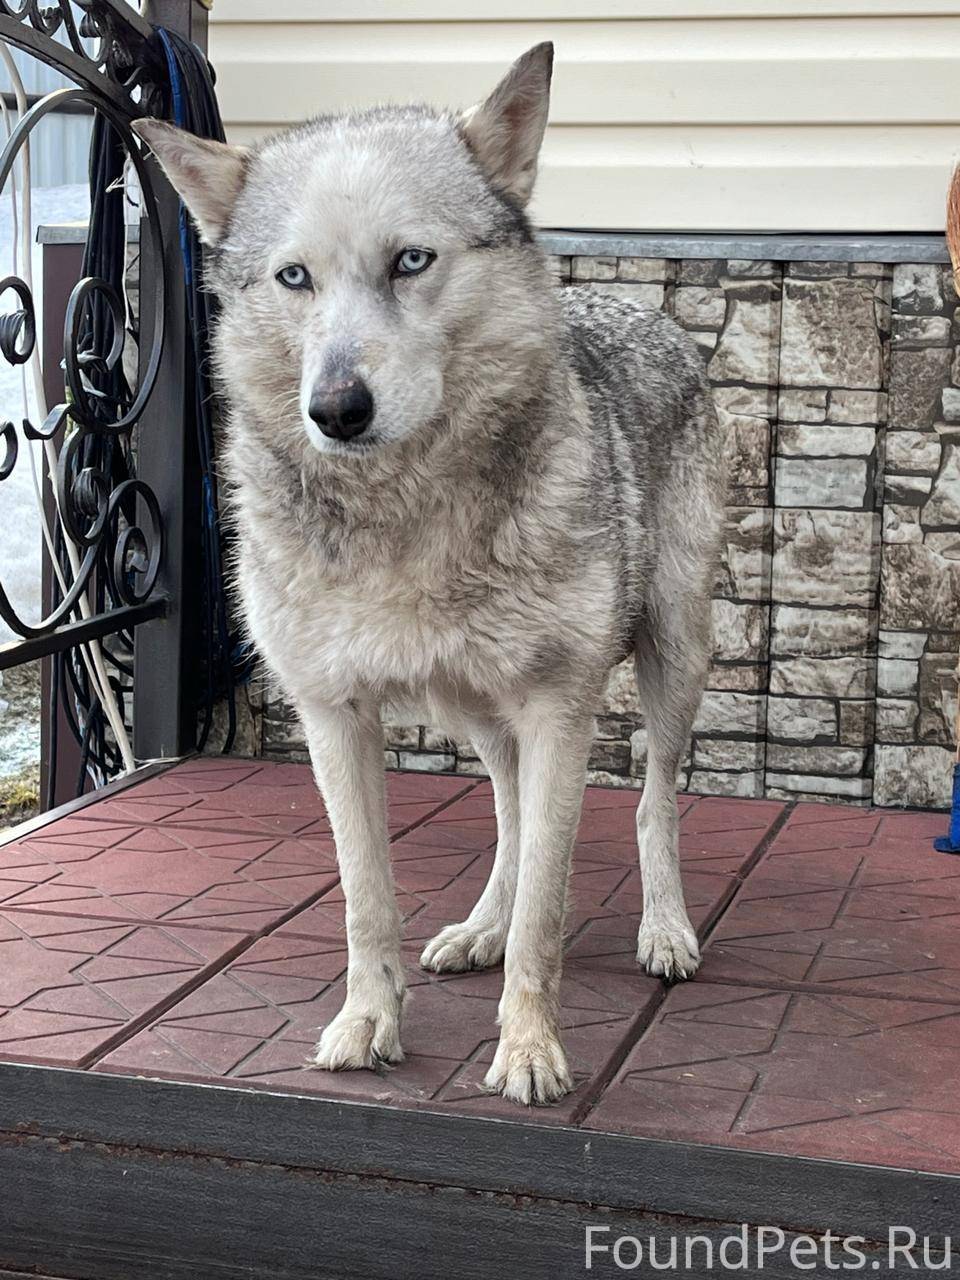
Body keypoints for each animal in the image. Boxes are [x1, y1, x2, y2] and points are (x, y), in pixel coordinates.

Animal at [133, 40, 721, 1100]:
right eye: (294, 278)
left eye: (411, 260)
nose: (336, 410)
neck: (402, 514)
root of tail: (635, 305)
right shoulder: (333, 714)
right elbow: (369, 901)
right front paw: (368, 1023)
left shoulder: (560, 706)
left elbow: (548, 913)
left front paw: (528, 1048)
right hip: (475, 710)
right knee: (513, 820)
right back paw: (479, 928)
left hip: (671, 658)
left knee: (652, 802)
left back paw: (664, 930)